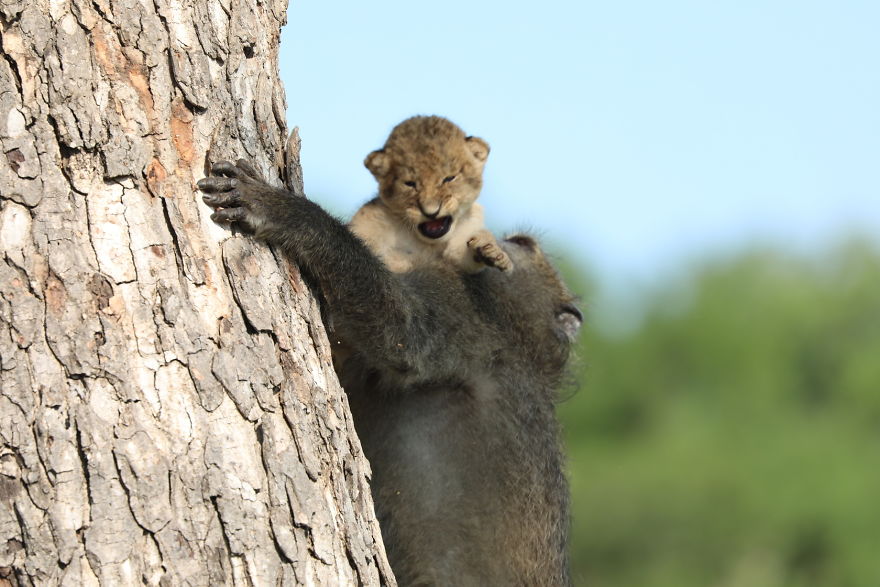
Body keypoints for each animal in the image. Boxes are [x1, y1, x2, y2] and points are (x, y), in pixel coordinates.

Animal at [198, 159, 581, 586]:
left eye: (523, 243)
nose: (495, 238)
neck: (523, 343)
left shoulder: (465, 309)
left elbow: (403, 333)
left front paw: (283, 211)